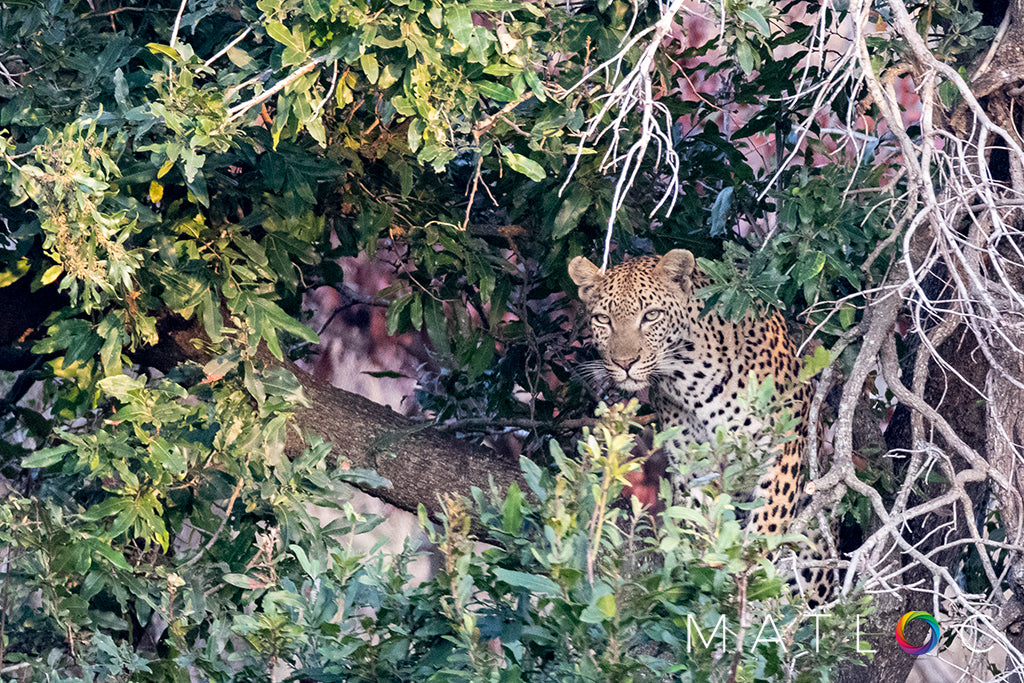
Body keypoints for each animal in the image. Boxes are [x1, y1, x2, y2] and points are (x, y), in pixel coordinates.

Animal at [569, 249, 831, 610]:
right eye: (603, 319)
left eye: (651, 316)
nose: (625, 363)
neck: (690, 378)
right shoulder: (692, 466)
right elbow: (698, 523)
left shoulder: (781, 451)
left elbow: (766, 523)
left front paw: (750, 581)